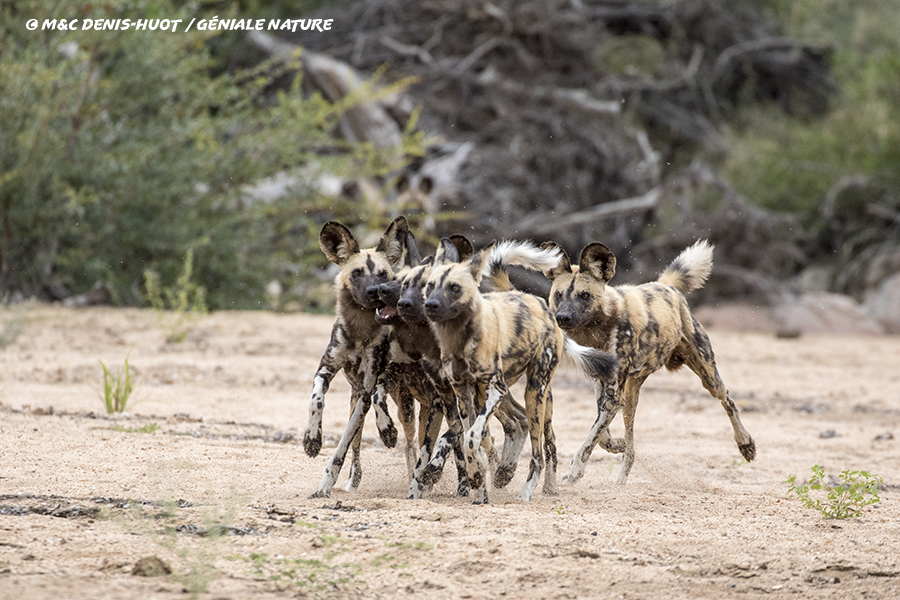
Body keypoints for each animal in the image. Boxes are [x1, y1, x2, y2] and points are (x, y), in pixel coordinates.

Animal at [304, 216, 414, 496]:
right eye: (357, 273)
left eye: (383, 274)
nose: (375, 291)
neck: (359, 332)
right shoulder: (325, 371)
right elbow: (316, 400)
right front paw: (312, 439)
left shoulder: (367, 389)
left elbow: (342, 444)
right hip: (355, 400)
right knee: (356, 447)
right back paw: (353, 482)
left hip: (403, 405)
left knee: (412, 445)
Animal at [424, 241, 620, 504]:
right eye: (429, 286)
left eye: (455, 288)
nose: (430, 305)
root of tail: (540, 303)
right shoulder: (463, 395)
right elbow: (469, 439)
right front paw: (478, 483)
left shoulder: (494, 391)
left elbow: (471, 438)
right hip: (505, 395)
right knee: (519, 426)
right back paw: (508, 474)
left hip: (534, 393)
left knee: (539, 452)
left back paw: (530, 491)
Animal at [540, 237, 760, 486]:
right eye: (558, 295)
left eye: (584, 295)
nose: (562, 317)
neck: (596, 330)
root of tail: (666, 286)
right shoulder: (604, 387)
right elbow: (601, 434)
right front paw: (616, 444)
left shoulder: (613, 397)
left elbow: (590, 439)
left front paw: (574, 472)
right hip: (631, 395)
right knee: (631, 445)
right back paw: (621, 476)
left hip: (709, 378)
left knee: (728, 400)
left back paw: (746, 444)